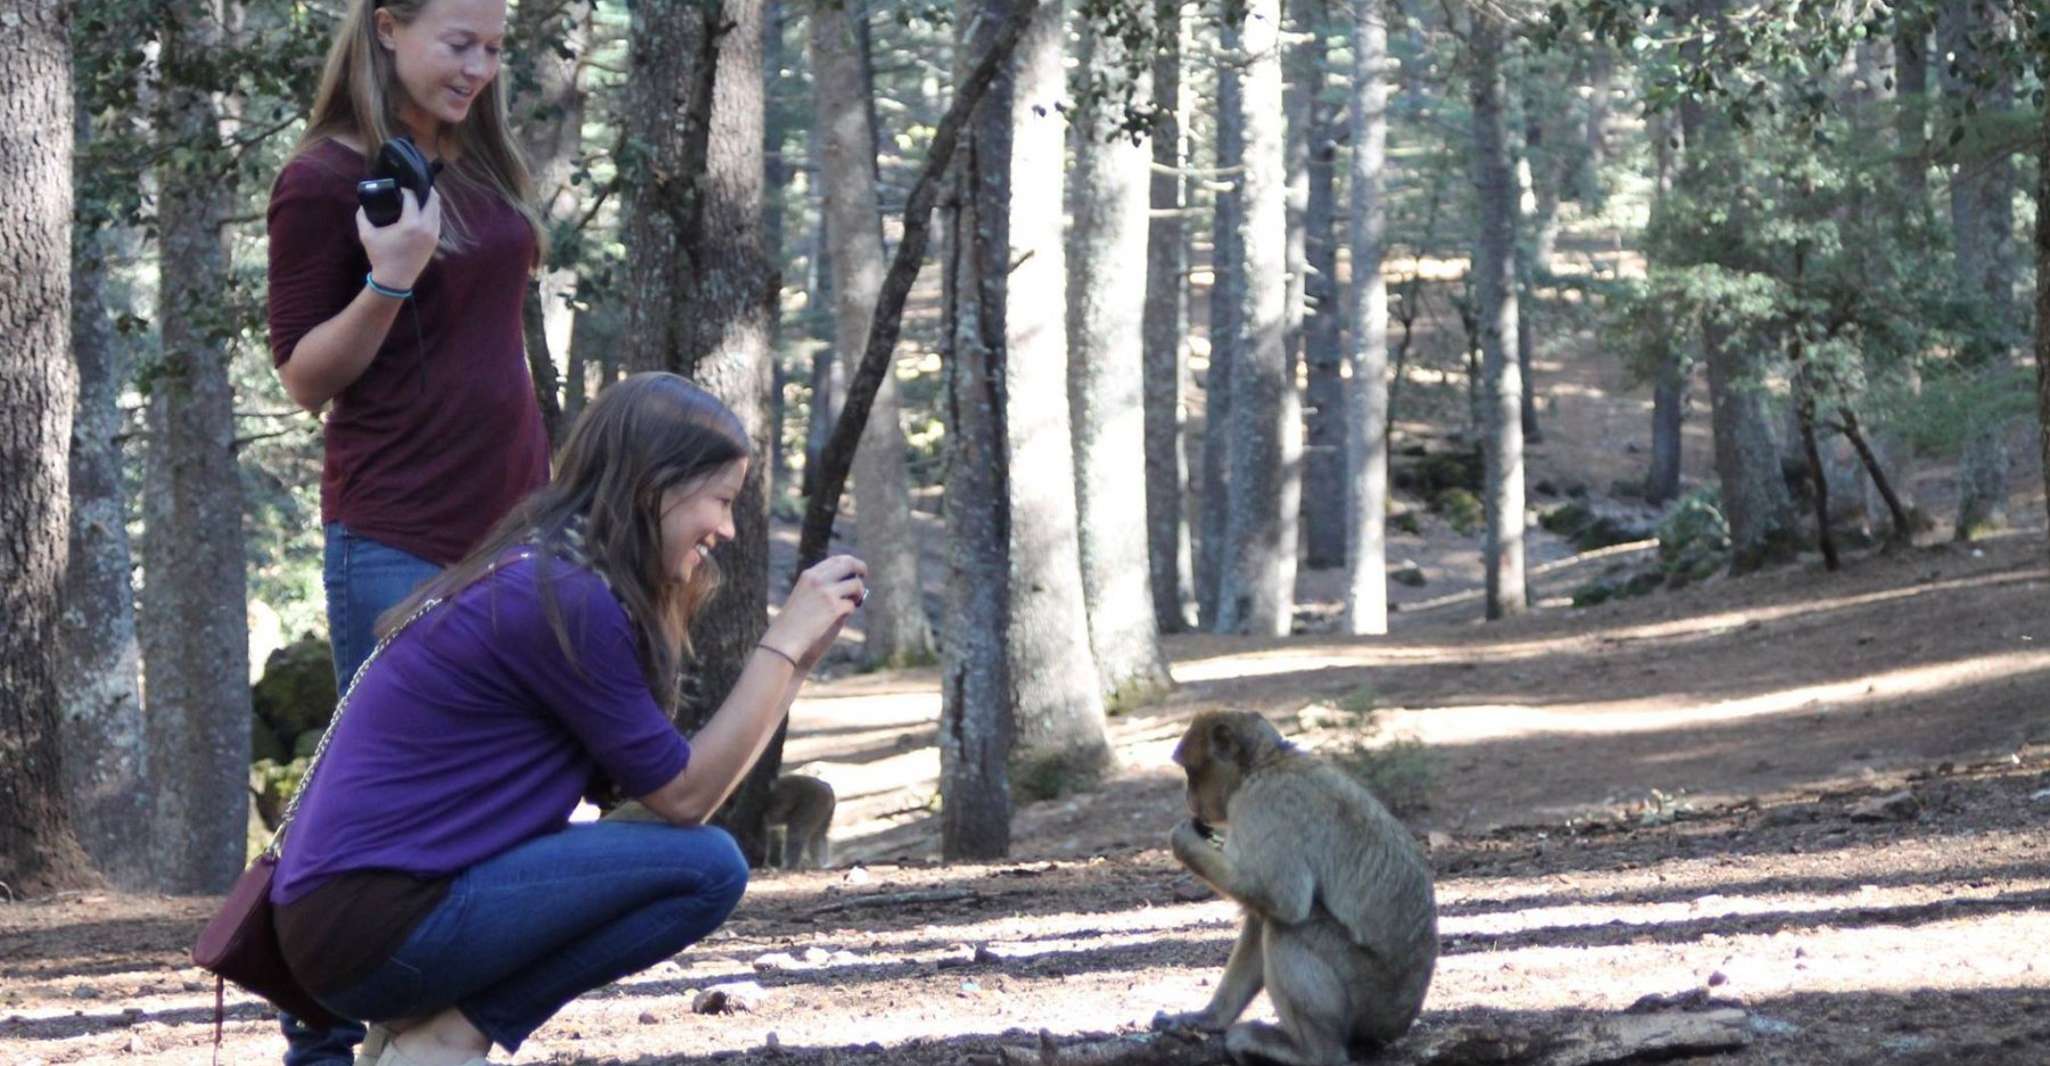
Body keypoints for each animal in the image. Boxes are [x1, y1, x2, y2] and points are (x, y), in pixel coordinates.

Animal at [1156, 709, 1443, 1066]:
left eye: (1189, 770)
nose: (1188, 798)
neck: (1266, 763)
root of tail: (1401, 1020)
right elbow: (1259, 915)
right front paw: (1208, 1018)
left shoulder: (1262, 804)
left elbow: (1283, 901)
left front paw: (1182, 840)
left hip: (1368, 992)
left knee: (1291, 929)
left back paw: (1312, 1053)